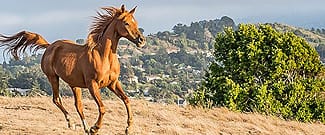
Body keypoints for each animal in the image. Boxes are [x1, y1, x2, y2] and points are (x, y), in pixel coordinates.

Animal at [0, 4, 144, 134]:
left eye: (135, 22)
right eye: (126, 23)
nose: (141, 40)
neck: (103, 56)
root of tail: (49, 46)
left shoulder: (112, 83)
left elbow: (126, 100)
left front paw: (128, 128)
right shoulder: (93, 85)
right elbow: (102, 108)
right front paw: (95, 128)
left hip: (75, 84)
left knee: (78, 105)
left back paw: (85, 128)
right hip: (53, 77)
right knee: (57, 99)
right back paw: (72, 123)